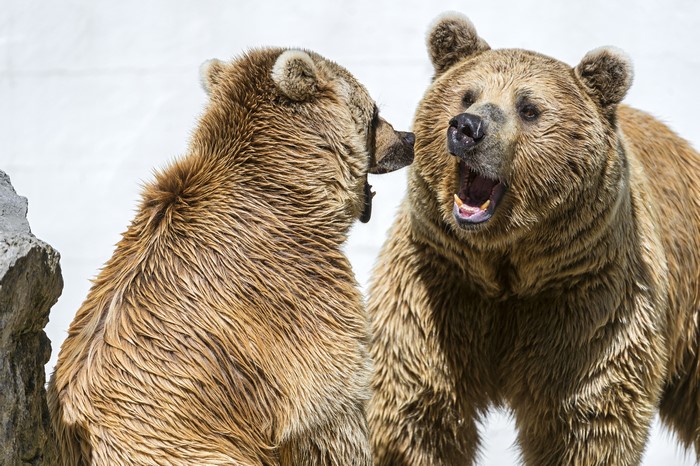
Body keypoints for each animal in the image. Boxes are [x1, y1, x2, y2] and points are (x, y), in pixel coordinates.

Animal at [367, 12, 700, 466]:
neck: (507, 262)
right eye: (466, 95)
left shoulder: (586, 297)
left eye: (528, 108)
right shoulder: (438, 283)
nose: (468, 128)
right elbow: (419, 405)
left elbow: (584, 417)